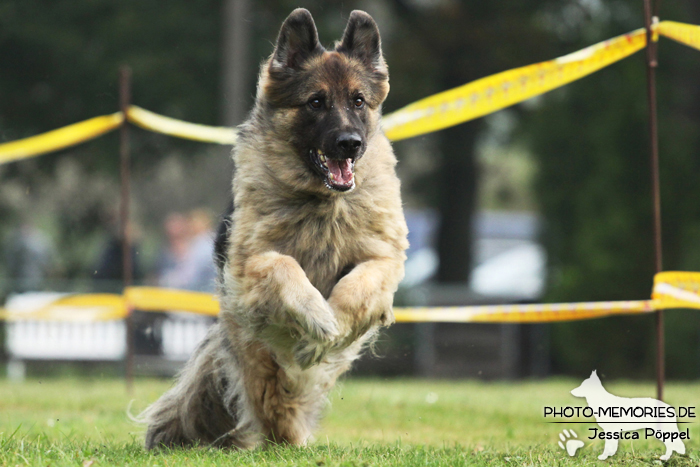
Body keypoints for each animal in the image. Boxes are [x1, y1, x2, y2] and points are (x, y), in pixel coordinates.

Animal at [139, 9, 408, 452]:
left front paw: (332, 326)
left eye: (358, 100)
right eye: (315, 102)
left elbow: (358, 285)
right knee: (274, 399)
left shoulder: (383, 259)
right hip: (257, 353)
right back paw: (288, 436)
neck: (322, 202)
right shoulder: (252, 263)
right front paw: (319, 319)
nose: (350, 143)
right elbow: (285, 267)